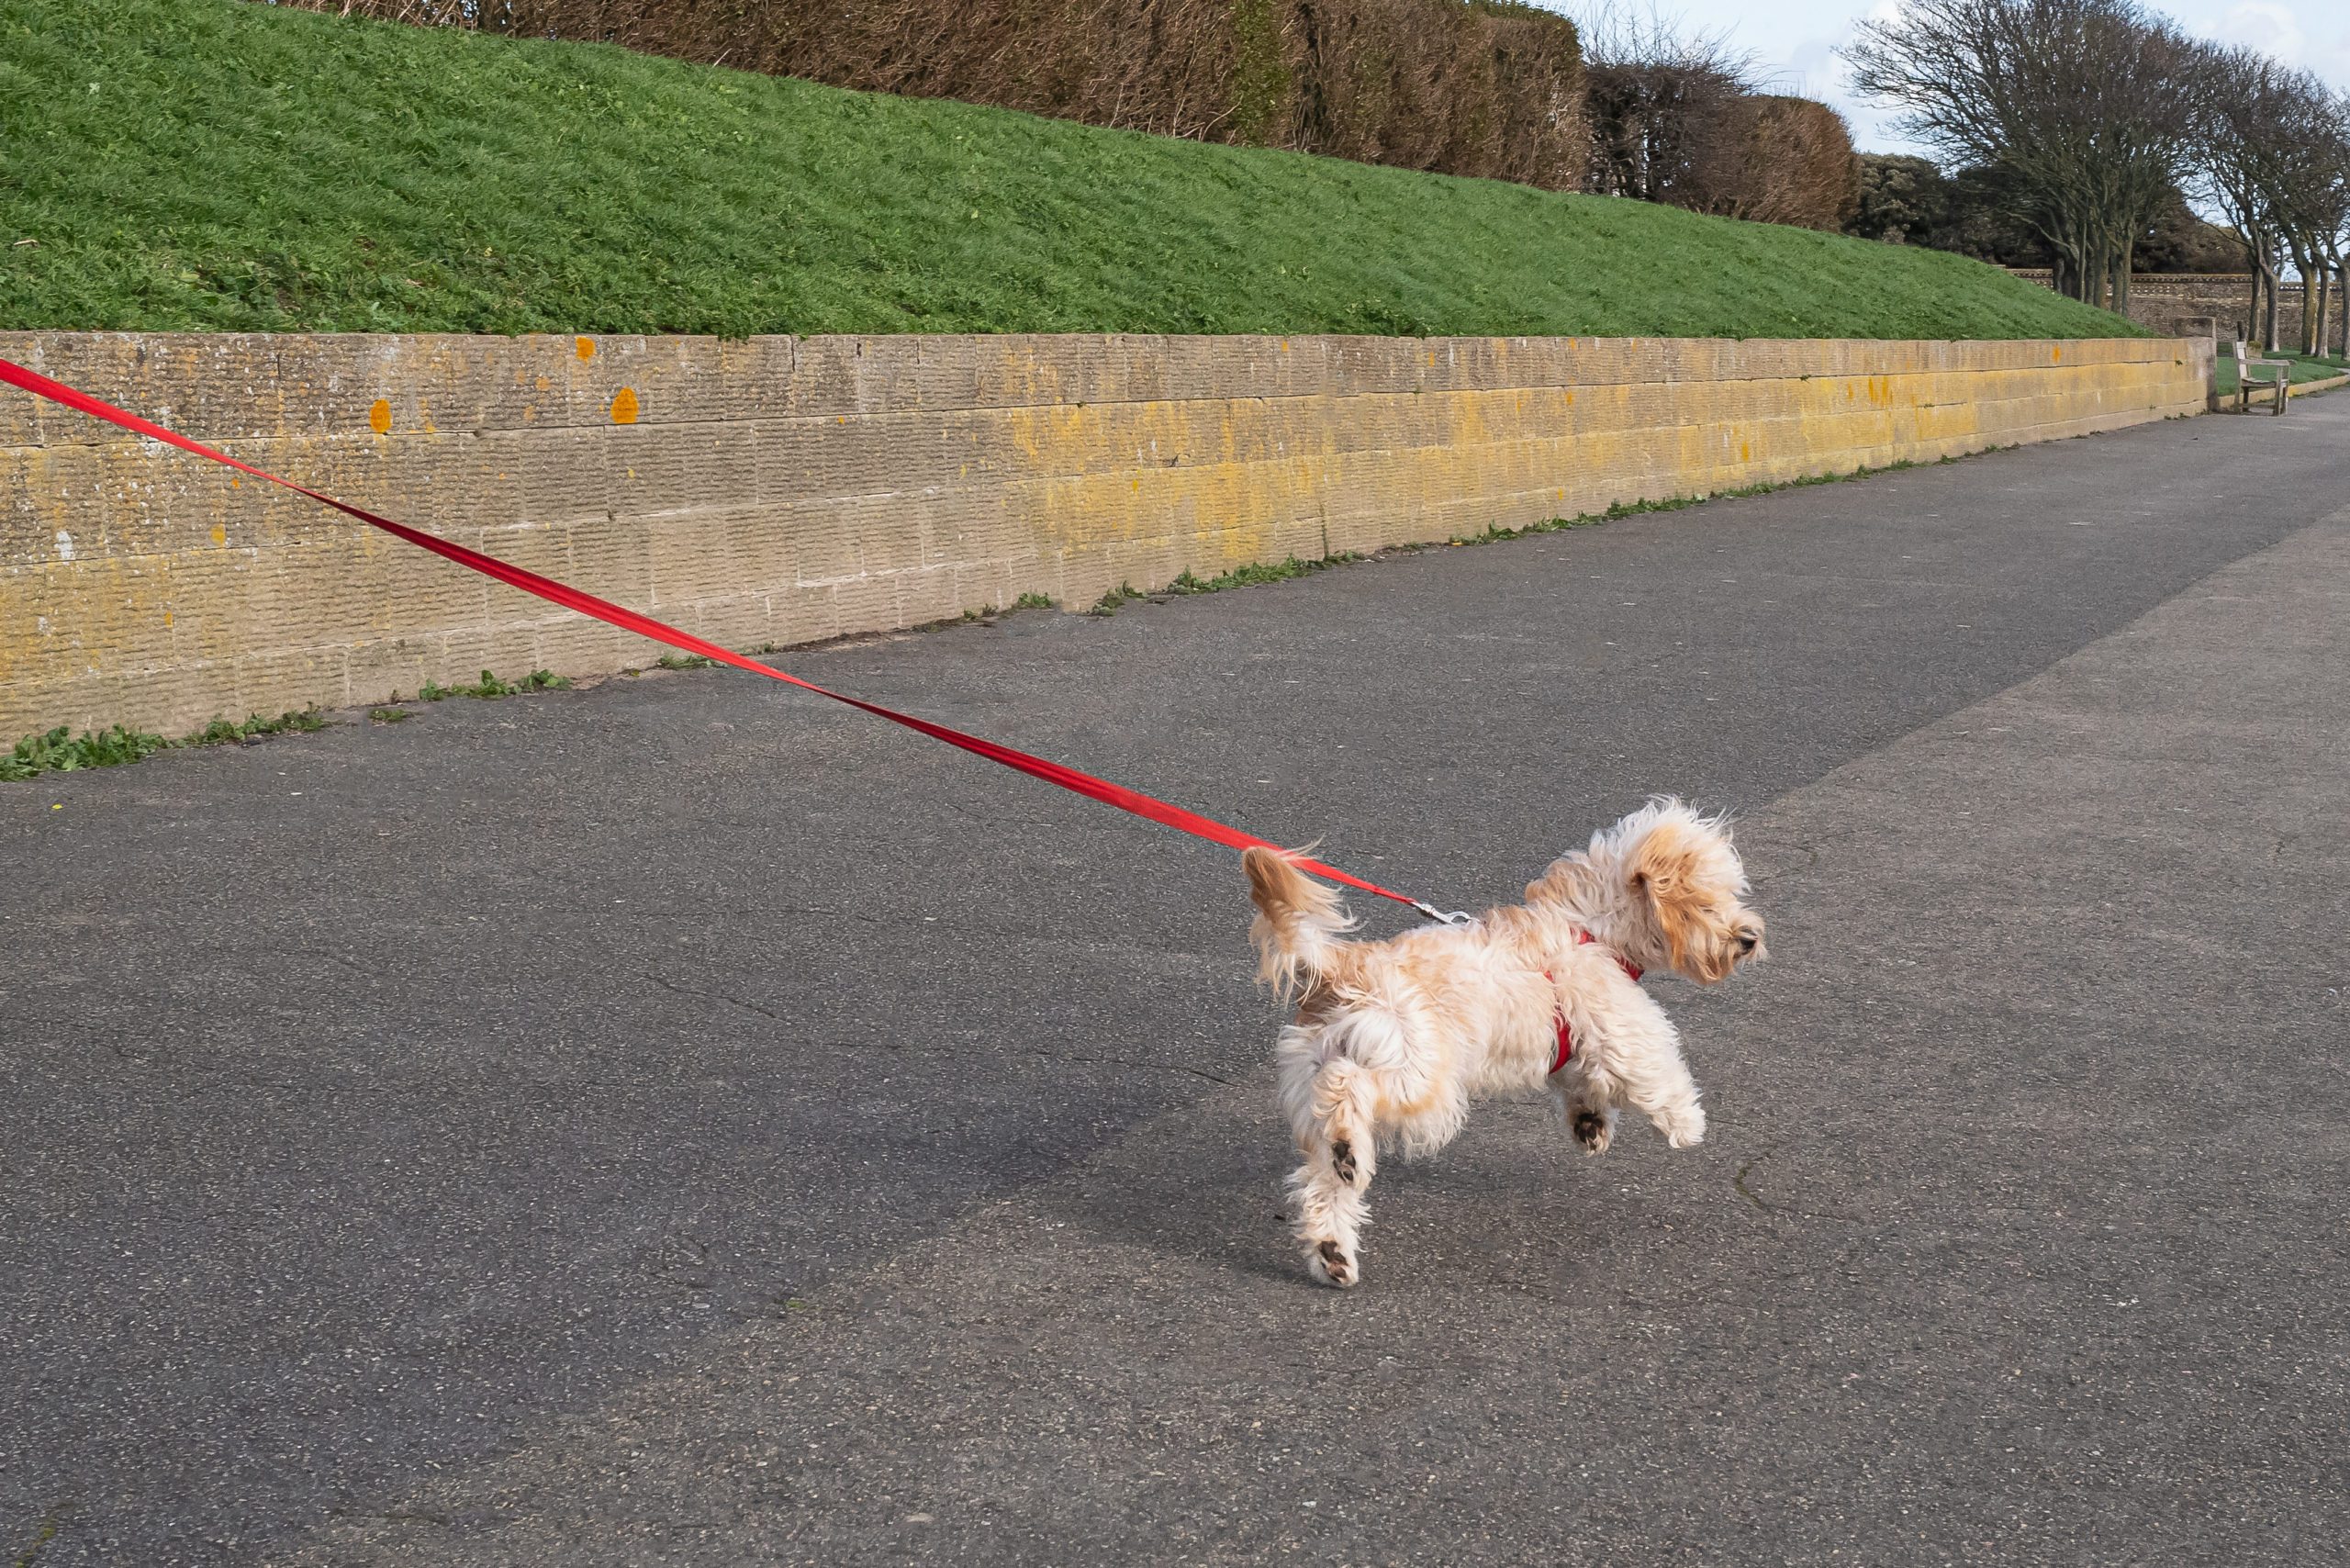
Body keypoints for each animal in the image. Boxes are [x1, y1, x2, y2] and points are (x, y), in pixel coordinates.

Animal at [1249, 799, 1767, 1288]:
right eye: (1705, 900)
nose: (1749, 938)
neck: (1589, 928)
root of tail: (1339, 970)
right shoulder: (1619, 1028)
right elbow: (1652, 1071)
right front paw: (1687, 1123)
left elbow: (1582, 1080)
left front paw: (1590, 1122)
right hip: (1421, 1081)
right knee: (1347, 1085)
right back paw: (1346, 1149)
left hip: (1321, 1088)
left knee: (1322, 1185)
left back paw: (1333, 1248)